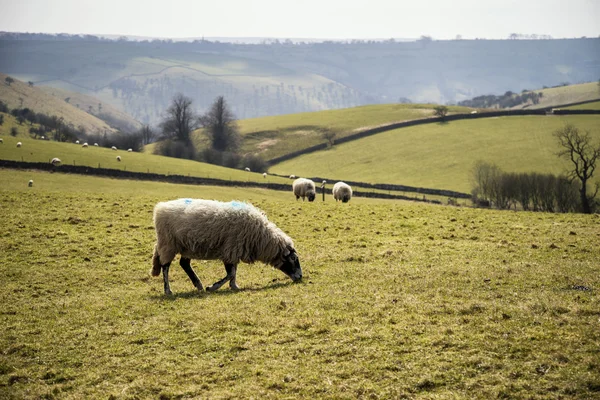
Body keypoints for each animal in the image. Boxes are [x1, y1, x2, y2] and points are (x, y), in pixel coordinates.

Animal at [150, 199, 300, 296]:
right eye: (293, 259)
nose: (300, 277)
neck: (261, 237)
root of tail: (160, 208)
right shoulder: (231, 249)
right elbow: (231, 273)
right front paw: (212, 287)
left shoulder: (234, 251)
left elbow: (233, 271)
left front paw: (234, 286)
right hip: (168, 243)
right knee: (165, 266)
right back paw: (168, 290)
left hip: (186, 246)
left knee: (184, 263)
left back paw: (198, 284)